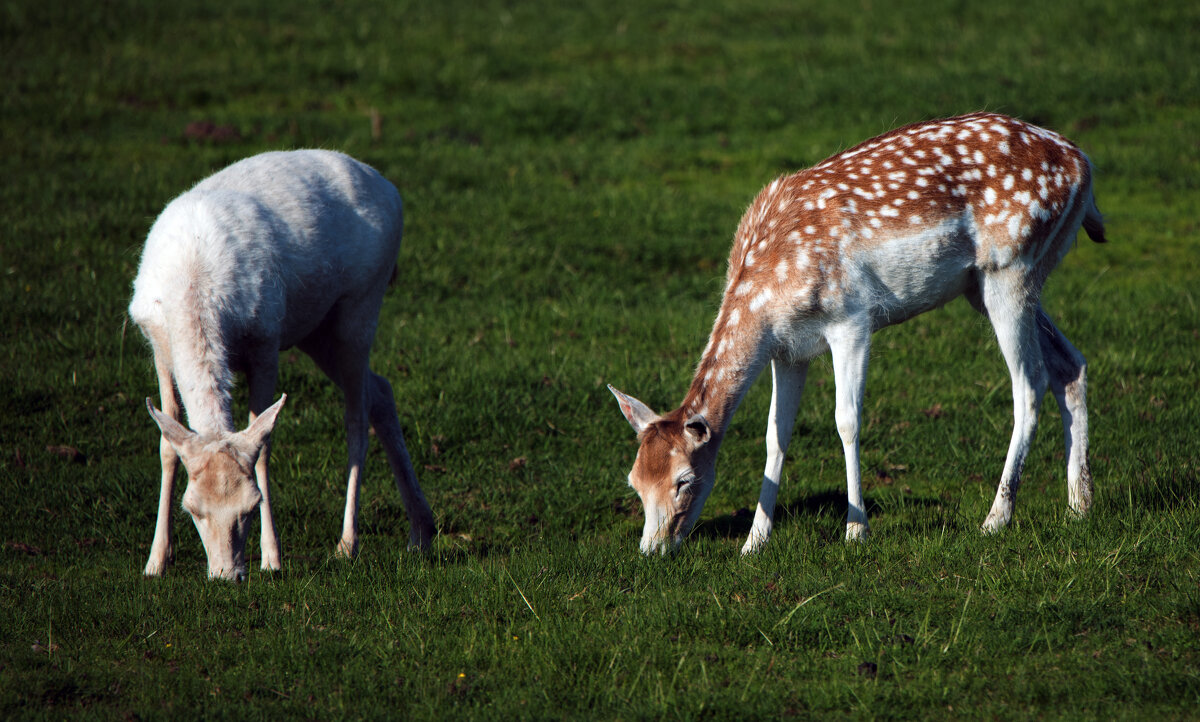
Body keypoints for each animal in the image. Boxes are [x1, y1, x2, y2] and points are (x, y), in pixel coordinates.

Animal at [130, 147, 436, 578]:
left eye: (252, 504)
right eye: (192, 509)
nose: (227, 575)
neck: (194, 283)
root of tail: (389, 188)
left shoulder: (265, 338)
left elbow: (264, 443)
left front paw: (272, 559)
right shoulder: (158, 343)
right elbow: (168, 443)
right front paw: (156, 561)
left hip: (362, 305)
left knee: (357, 414)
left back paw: (348, 544)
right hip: (316, 330)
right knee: (382, 389)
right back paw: (421, 533)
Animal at [609, 110, 1104, 551]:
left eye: (684, 480)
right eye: (634, 481)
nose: (651, 549)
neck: (768, 292)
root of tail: (1084, 164)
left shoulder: (851, 319)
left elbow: (846, 421)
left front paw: (856, 531)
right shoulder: (789, 350)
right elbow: (775, 436)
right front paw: (754, 543)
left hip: (1010, 269)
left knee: (1029, 383)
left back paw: (996, 518)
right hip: (985, 285)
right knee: (1069, 364)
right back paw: (1079, 506)